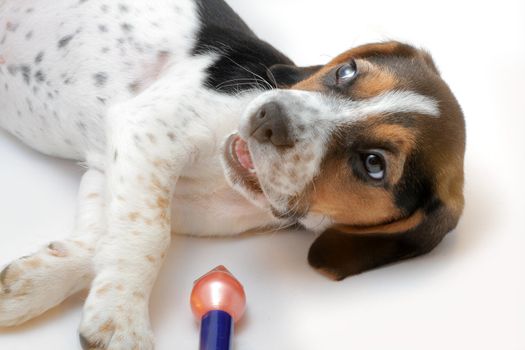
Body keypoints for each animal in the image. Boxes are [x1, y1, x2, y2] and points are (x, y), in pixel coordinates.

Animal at [0, 0, 464, 348]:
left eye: (373, 164)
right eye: (345, 71)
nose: (269, 115)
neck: (226, 185)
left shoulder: (113, 166)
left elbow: (111, 239)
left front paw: (35, 285)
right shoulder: (146, 130)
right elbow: (147, 233)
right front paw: (121, 318)